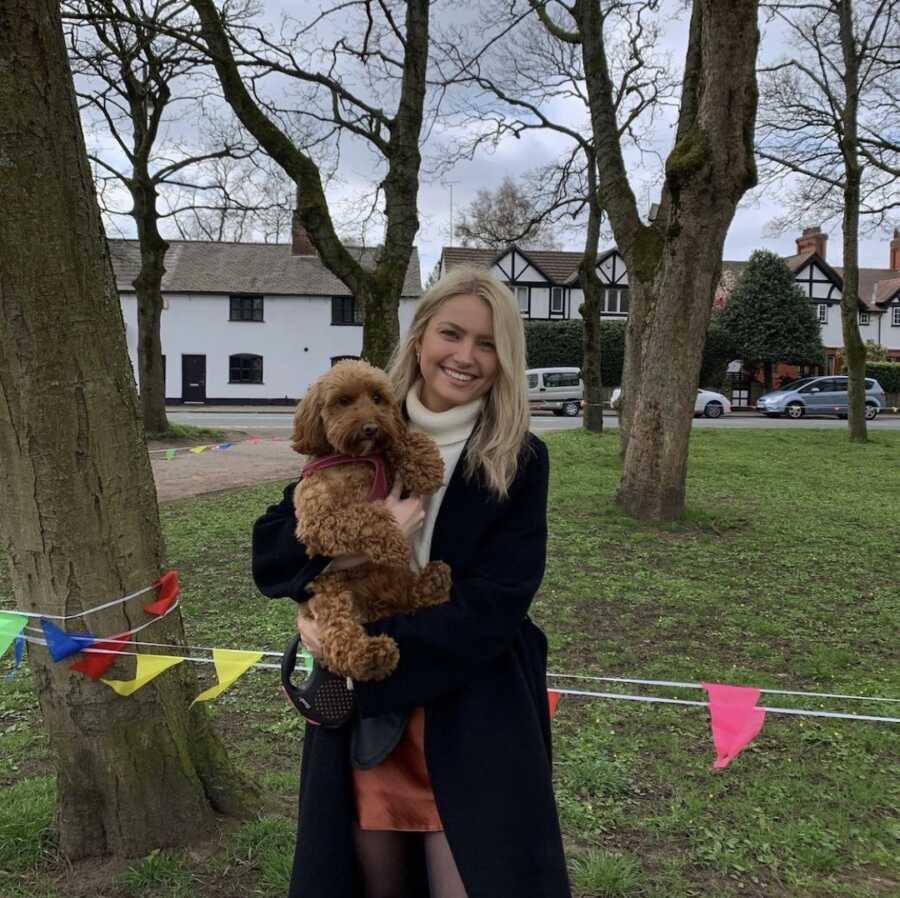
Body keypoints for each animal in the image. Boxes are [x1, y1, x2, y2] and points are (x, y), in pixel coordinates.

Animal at [294, 356, 454, 680]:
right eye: (343, 401)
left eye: (378, 398)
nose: (370, 428)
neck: (358, 459)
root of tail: (375, 604)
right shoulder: (317, 520)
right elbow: (367, 514)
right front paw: (393, 540)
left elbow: (403, 437)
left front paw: (427, 465)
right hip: (331, 592)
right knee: (339, 639)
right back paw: (370, 657)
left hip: (393, 579)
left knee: (411, 598)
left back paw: (433, 582)